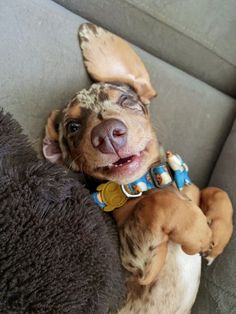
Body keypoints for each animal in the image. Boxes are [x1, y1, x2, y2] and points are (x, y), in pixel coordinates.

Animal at [42, 23, 234, 314]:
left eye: (125, 100)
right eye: (73, 126)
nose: (107, 134)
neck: (151, 180)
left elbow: (217, 191)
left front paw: (219, 233)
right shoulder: (136, 263)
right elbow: (155, 204)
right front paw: (199, 230)